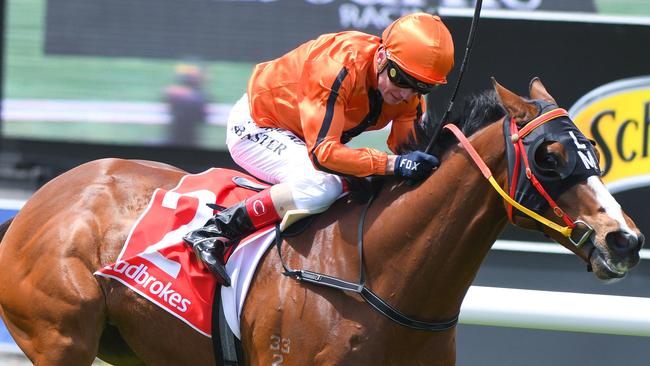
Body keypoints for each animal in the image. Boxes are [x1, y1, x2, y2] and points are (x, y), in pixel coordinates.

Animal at [0, 78, 640, 364]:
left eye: (593, 151)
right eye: (550, 156)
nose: (626, 239)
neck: (378, 274)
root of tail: (40, 201)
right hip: (60, 337)